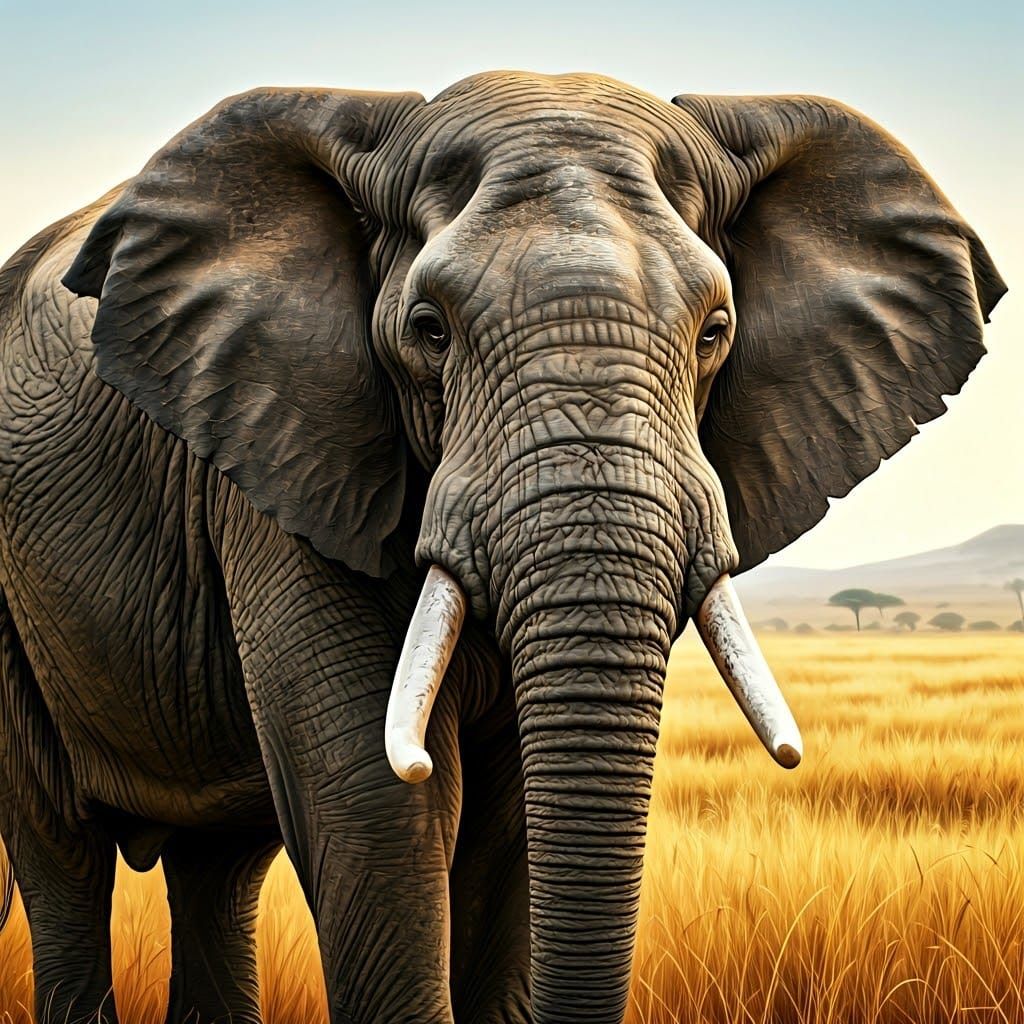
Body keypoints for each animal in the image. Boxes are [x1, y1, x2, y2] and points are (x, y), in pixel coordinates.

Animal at [0, 70, 1004, 1024]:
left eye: (715, 331)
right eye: (428, 330)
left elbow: (510, 823)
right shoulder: (288, 449)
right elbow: (376, 804)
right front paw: (404, 780)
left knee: (217, 866)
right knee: (60, 850)